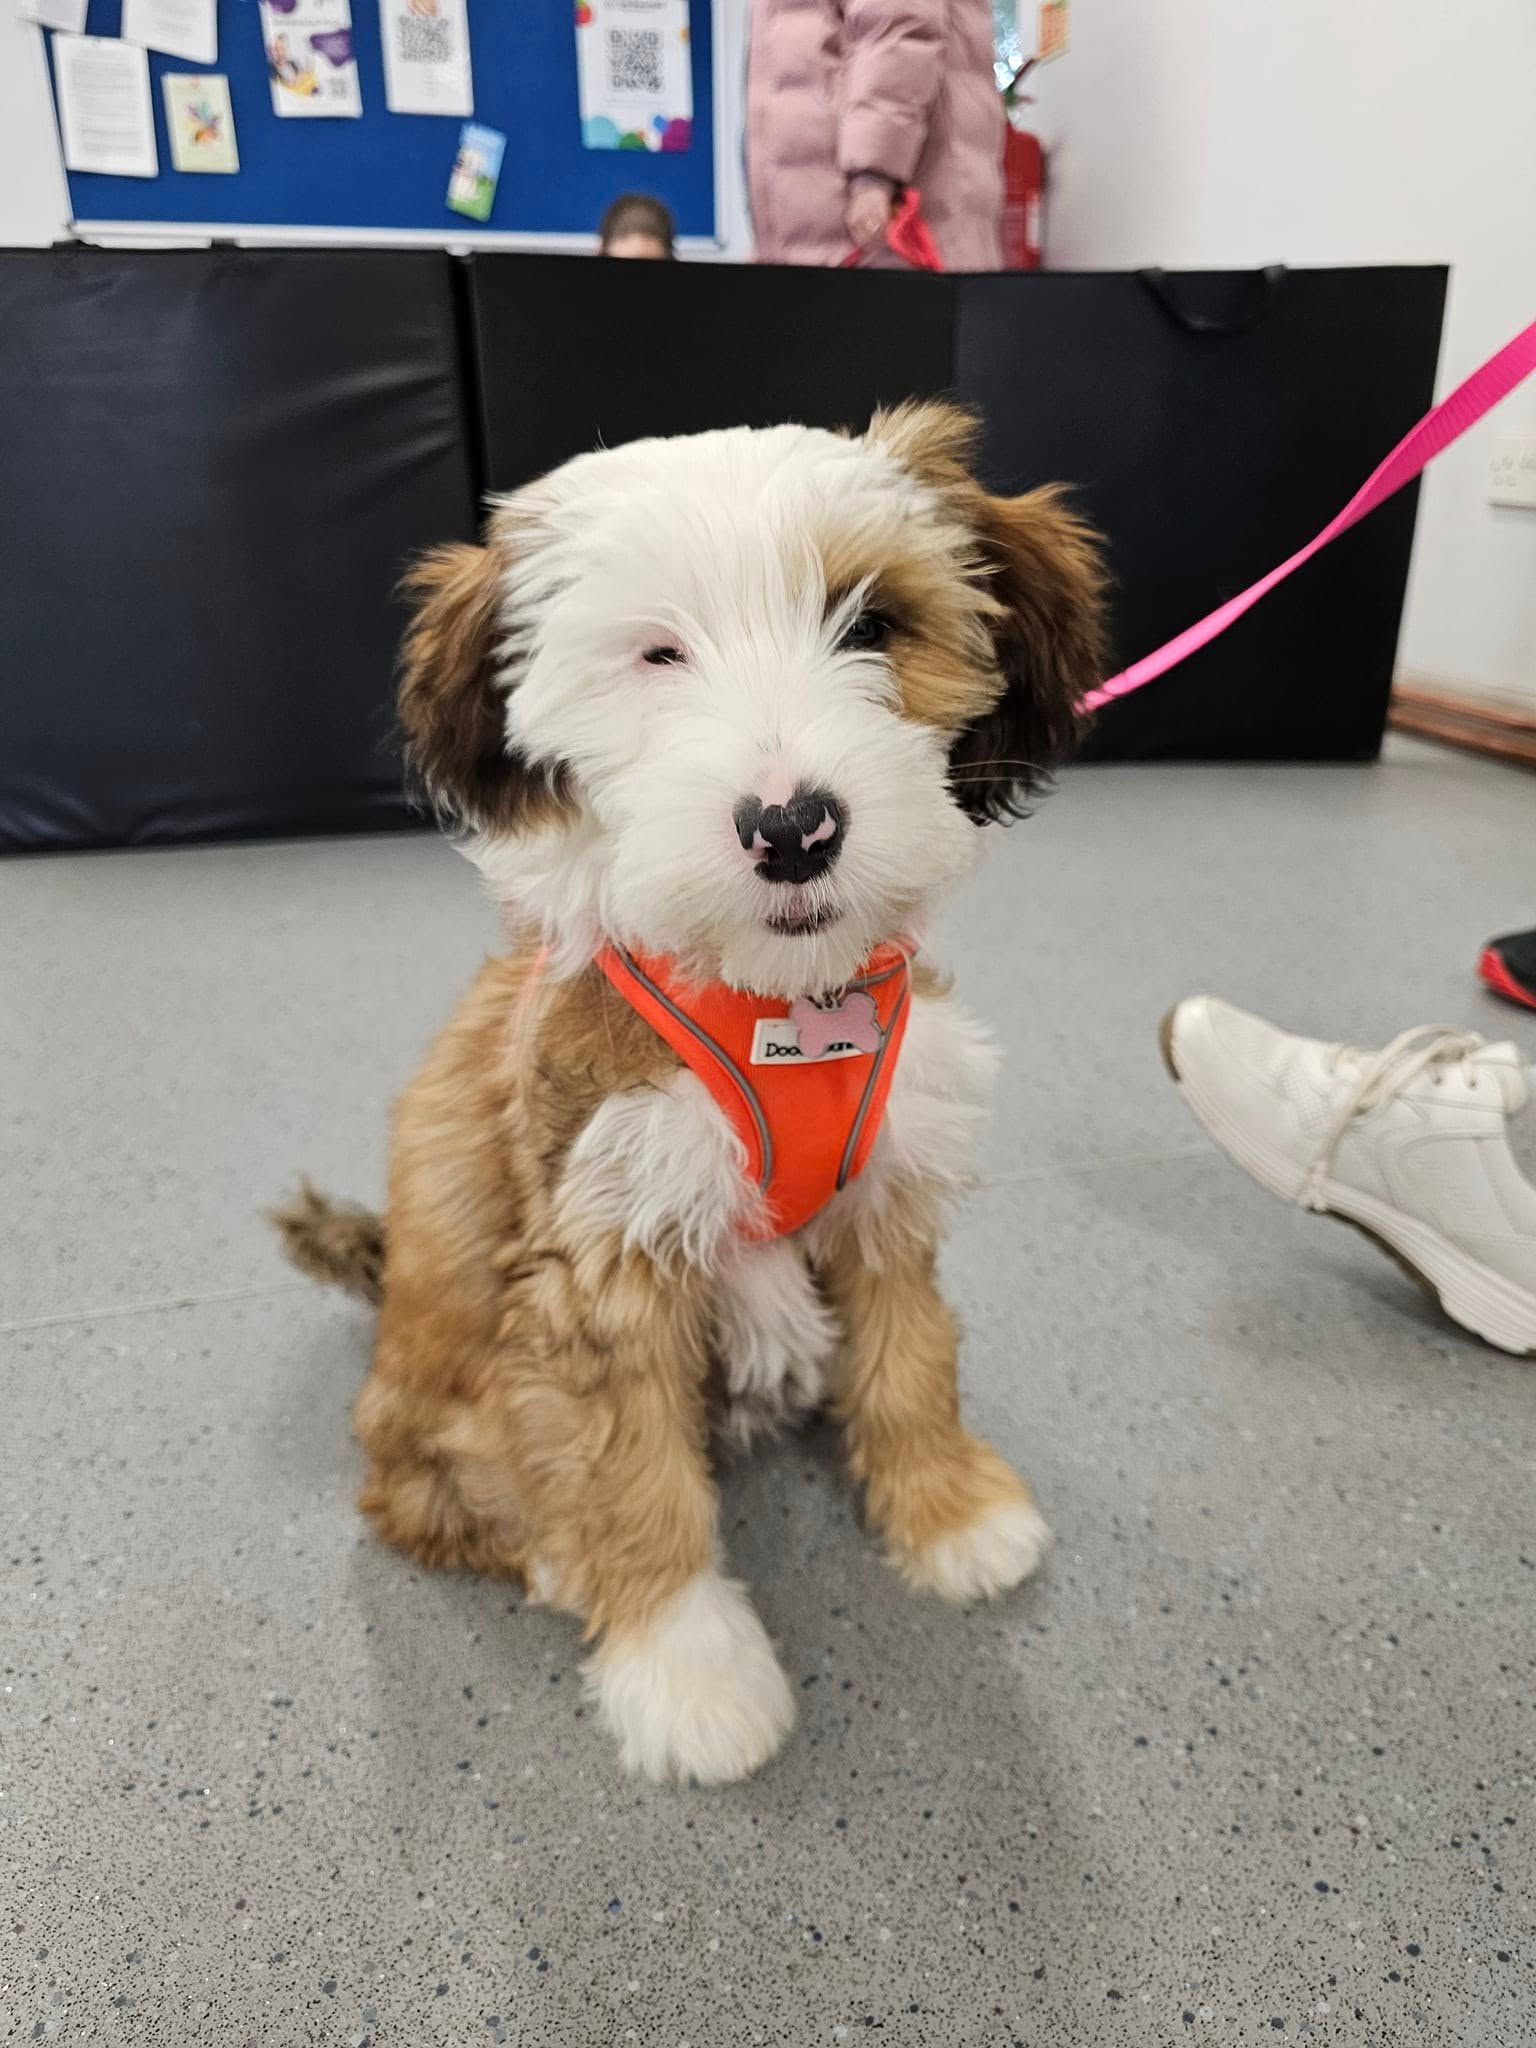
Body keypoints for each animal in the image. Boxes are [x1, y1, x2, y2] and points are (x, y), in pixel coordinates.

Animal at [275, 402, 1105, 1785]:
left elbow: (912, 1353)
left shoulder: (889, 1189)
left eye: (870, 621)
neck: (786, 1001)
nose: (792, 826)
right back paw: (563, 1559)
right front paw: (689, 1672)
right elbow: (629, 1466)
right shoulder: (602, 1250)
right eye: (659, 653)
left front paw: (947, 1508)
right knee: (434, 1501)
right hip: (442, 1421)